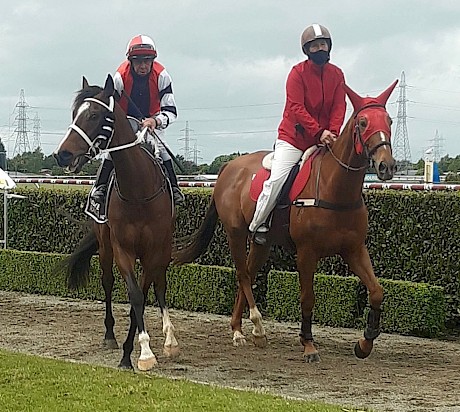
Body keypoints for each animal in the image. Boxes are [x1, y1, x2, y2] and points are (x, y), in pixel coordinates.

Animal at [52, 75, 178, 372]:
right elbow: (134, 296)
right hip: (105, 244)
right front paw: (138, 354)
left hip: (164, 247)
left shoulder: (153, 250)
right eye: (75, 114)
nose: (62, 154)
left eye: (94, 115)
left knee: (161, 284)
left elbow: (144, 295)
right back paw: (110, 334)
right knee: (107, 282)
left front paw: (142, 350)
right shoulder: (123, 249)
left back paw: (170, 338)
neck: (138, 191)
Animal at [174, 81, 398, 364]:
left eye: (389, 120)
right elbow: (307, 298)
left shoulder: (354, 249)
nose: (386, 166)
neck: (334, 186)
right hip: (235, 234)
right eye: (363, 122)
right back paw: (255, 328)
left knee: (248, 273)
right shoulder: (307, 253)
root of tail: (229, 167)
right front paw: (308, 344)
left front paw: (365, 342)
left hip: (261, 244)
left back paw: (238, 328)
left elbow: (377, 290)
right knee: (243, 274)